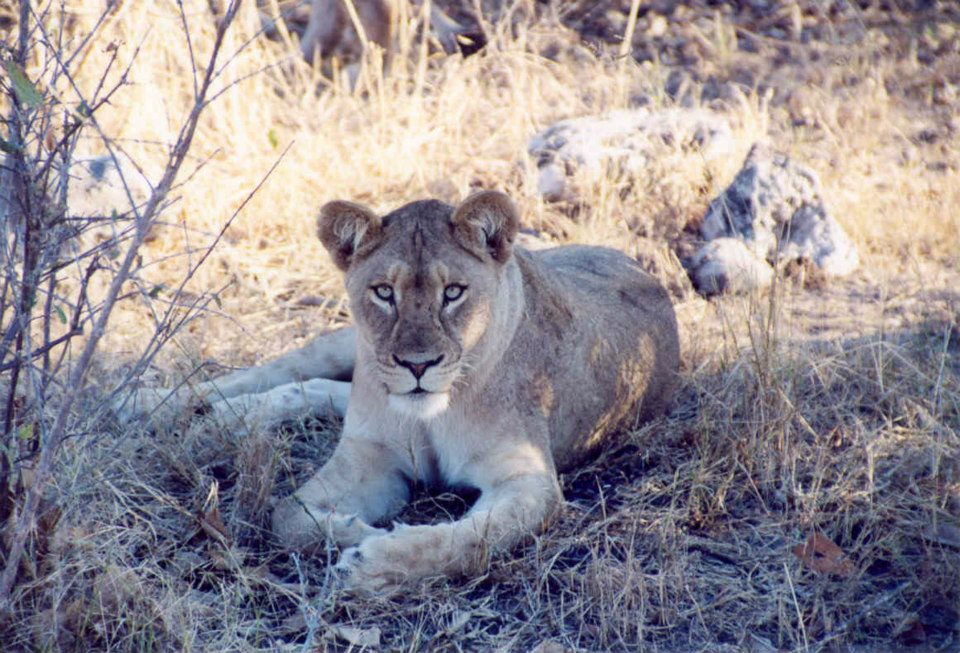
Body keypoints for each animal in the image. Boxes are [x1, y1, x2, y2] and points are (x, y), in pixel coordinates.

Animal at [118, 191, 679, 593]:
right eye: (384, 292)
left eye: (453, 292)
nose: (417, 365)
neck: (430, 415)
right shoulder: (367, 458)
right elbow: (290, 517)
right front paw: (362, 534)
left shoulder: (528, 479)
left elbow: (472, 539)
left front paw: (374, 562)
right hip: (347, 345)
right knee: (294, 369)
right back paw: (160, 405)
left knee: (322, 389)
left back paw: (217, 417)